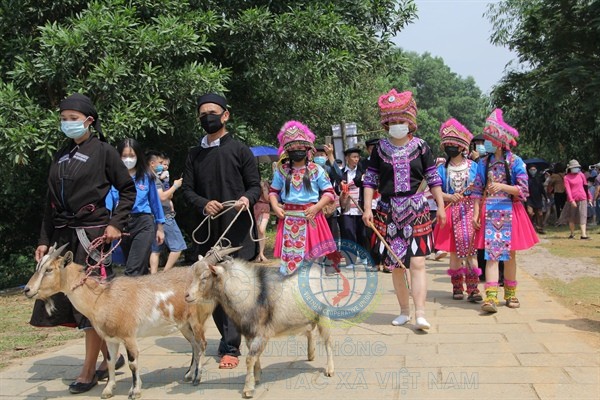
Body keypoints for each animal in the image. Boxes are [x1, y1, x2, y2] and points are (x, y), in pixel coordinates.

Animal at [24, 244, 216, 400]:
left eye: (49, 269)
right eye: (38, 266)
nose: (27, 290)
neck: (102, 299)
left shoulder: (129, 335)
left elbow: (132, 362)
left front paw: (135, 391)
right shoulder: (110, 338)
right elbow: (110, 361)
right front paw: (108, 390)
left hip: (197, 320)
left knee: (202, 344)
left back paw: (197, 377)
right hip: (183, 324)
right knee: (194, 345)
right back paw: (189, 374)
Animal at [185, 247, 336, 396]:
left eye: (205, 277)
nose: (187, 296)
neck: (251, 293)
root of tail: (317, 267)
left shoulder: (262, 333)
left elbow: (249, 359)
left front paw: (248, 389)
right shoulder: (249, 334)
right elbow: (255, 357)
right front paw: (257, 378)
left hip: (324, 314)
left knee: (328, 341)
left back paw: (330, 369)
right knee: (310, 331)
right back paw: (311, 355)